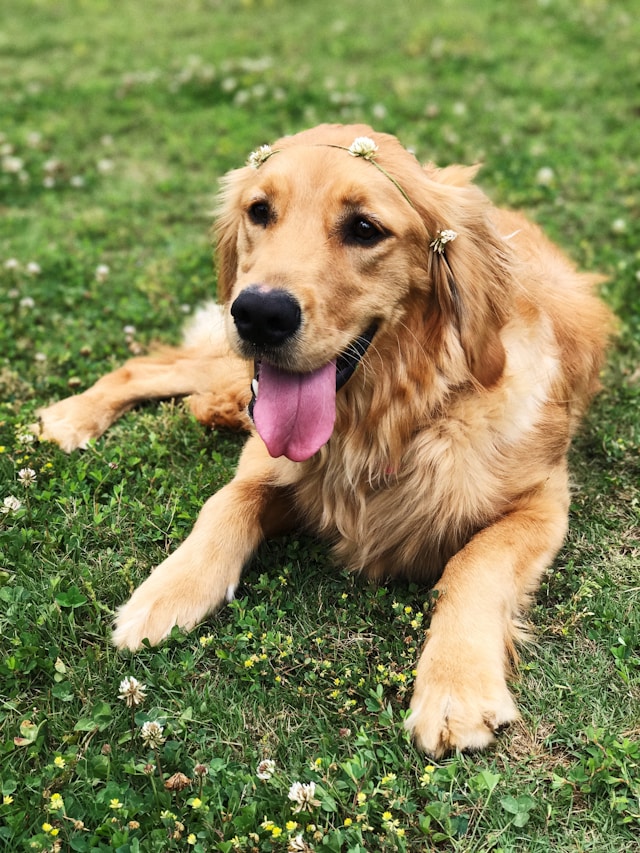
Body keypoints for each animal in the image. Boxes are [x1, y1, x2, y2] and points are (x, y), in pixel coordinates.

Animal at [33, 121, 608, 752]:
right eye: (260, 211)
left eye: (364, 228)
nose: (259, 314)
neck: (387, 422)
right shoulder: (275, 463)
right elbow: (227, 501)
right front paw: (167, 592)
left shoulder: (543, 500)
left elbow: (476, 561)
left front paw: (456, 687)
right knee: (147, 368)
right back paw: (73, 415)